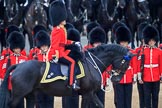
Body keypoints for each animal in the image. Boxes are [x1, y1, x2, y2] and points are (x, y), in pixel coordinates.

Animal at [0, 44, 134, 108]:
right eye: (126, 63)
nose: (116, 79)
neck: (92, 64)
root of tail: (18, 66)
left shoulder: (91, 93)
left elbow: (100, 105)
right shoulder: (87, 94)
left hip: (30, 94)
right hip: (18, 95)